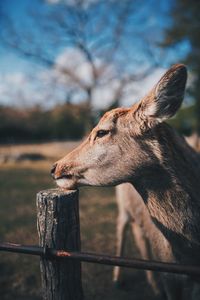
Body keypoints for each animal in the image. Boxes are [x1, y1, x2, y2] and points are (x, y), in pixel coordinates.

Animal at [51, 64, 200, 298]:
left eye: (101, 132)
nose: (55, 167)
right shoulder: (171, 278)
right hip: (121, 205)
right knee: (122, 229)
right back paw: (119, 279)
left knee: (139, 235)